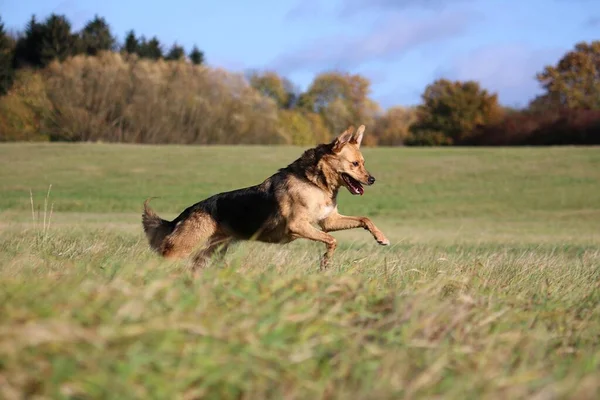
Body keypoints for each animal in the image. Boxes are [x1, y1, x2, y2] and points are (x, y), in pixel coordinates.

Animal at [143, 123, 392, 270]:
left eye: (363, 163)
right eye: (355, 164)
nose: (372, 180)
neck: (314, 182)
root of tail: (185, 213)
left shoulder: (328, 221)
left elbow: (364, 220)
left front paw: (381, 238)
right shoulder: (298, 225)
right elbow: (332, 241)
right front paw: (325, 262)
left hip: (209, 252)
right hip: (183, 249)